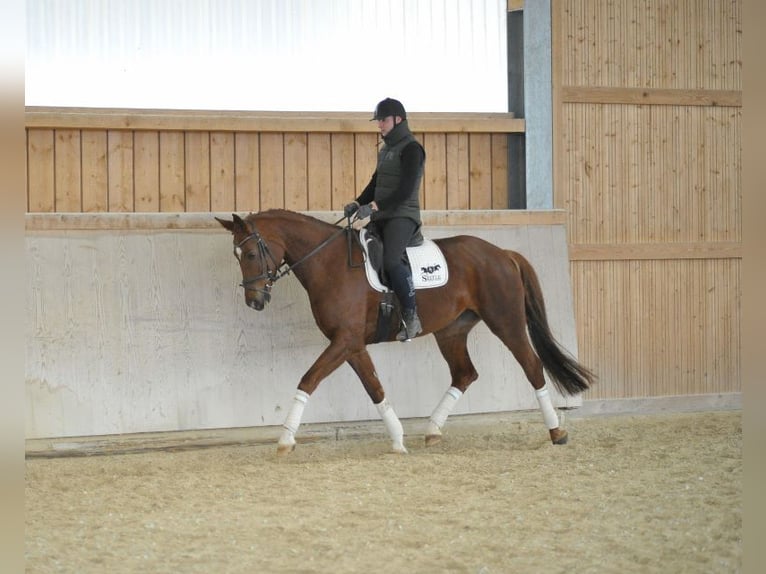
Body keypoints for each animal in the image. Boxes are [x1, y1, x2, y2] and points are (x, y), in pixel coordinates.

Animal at [216, 209, 592, 456]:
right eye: (236, 255)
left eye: (251, 253)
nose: (255, 301)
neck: (330, 264)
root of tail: (502, 254)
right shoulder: (352, 344)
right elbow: (375, 387)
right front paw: (397, 440)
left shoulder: (345, 341)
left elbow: (308, 380)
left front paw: (285, 439)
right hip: (451, 331)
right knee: (465, 374)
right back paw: (432, 430)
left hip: (506, 321)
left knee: (531, 366)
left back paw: (557, 431)